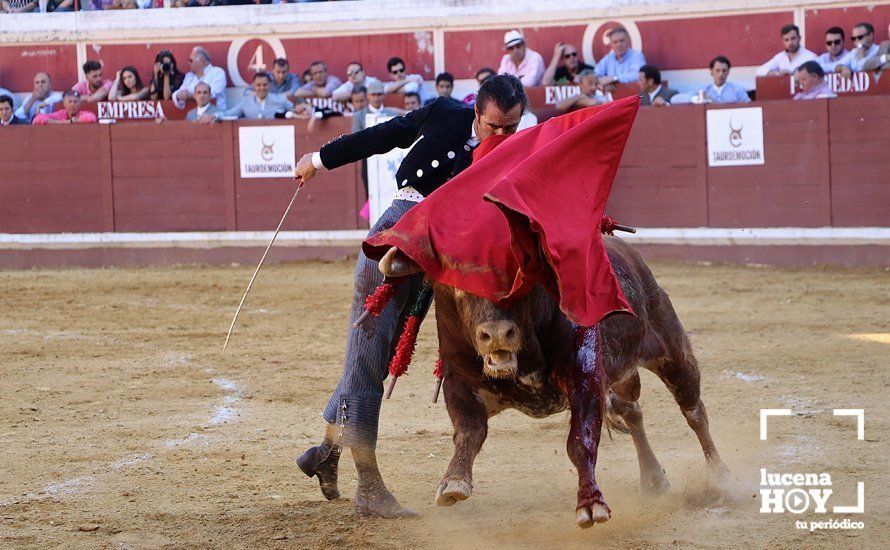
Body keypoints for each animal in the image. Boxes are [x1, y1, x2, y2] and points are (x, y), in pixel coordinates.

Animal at [376, 237, 728, 532]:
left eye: (518, 282)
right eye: (456, 285)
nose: (498, 334)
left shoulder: (585, 377)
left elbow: (580, 441)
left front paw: (591, 504)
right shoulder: (459, 383)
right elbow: (469, 432)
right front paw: (453, 482)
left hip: (672, 351)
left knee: (694, 412)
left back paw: (720, 479)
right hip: (623, 373)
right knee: (632, 411)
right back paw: (653, 479)